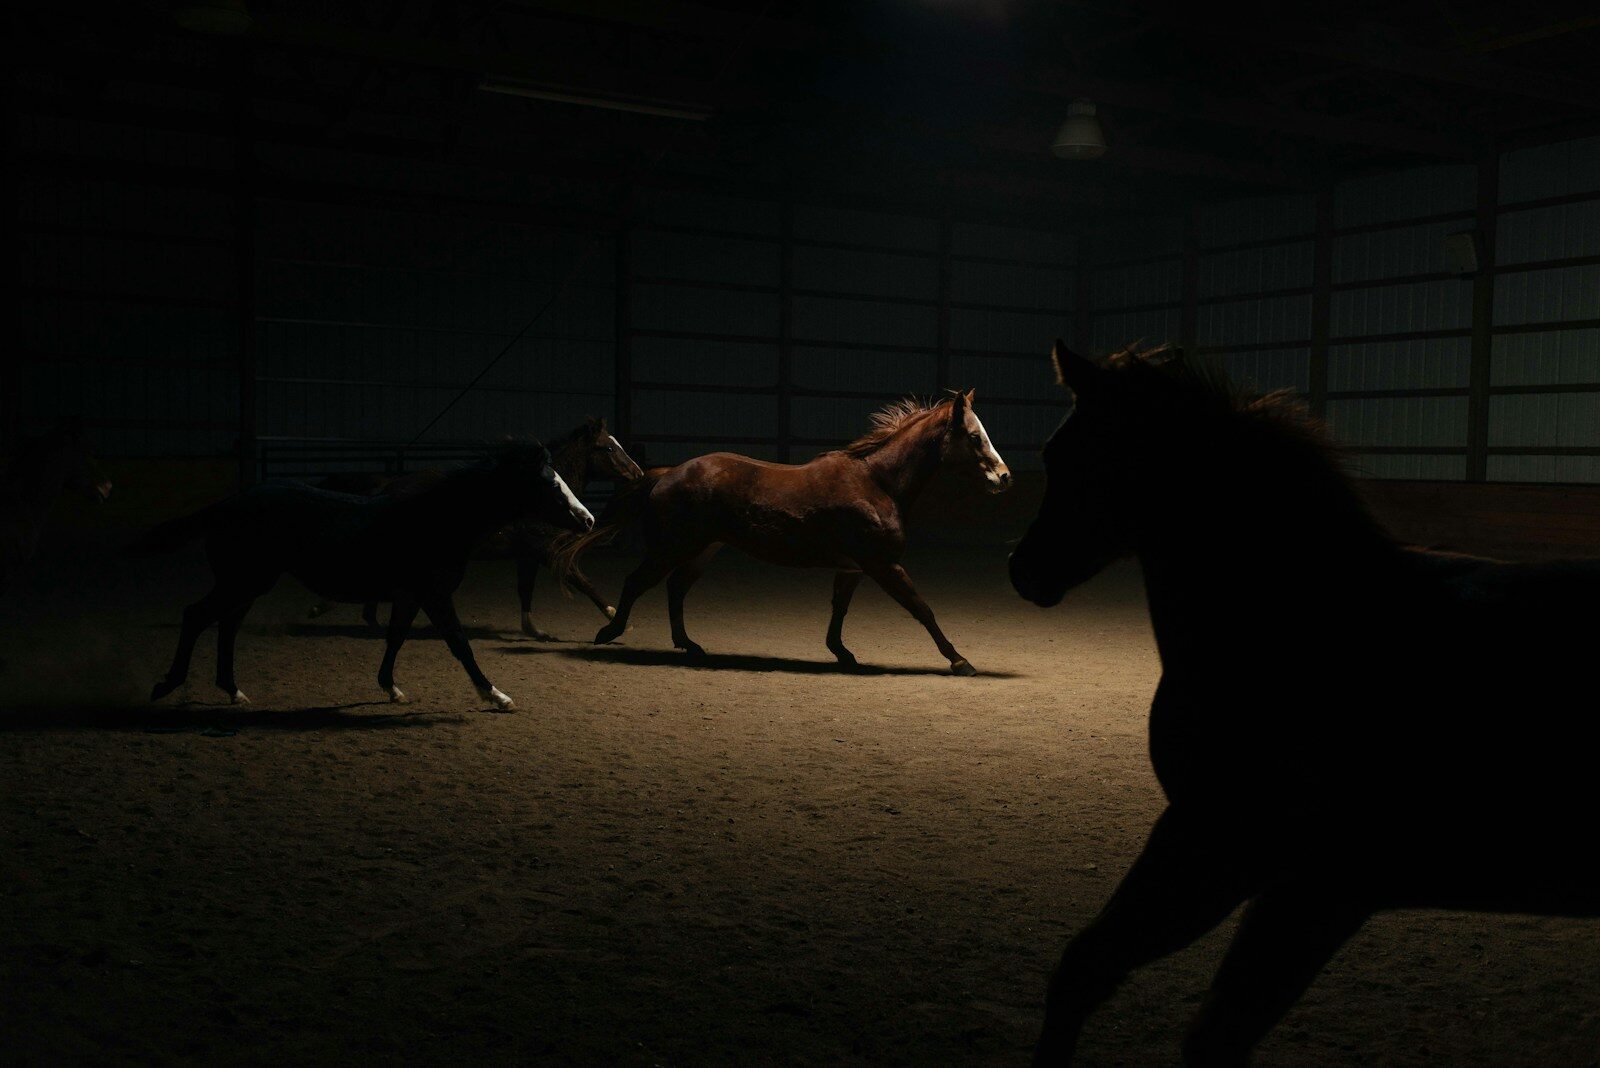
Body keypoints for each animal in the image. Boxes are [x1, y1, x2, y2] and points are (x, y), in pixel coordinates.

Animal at [132, 442, 594, 710]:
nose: (587, 519)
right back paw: (167, 686)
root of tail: (228, 503)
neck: (436, 519)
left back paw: (232, 691)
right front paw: (496, 695)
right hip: (241, 582)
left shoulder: (409, 596)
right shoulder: (435, 594)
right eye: (550, 485)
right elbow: (459, 644)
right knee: (196, 616)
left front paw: (390, 688)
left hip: (247, 586)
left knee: (225, 628)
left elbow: (395, 638)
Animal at [306, 418, 644, 638]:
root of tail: (388, 487)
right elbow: (582, 581)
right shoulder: (544, 550)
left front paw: (533, 629)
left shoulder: (528, 555)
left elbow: (526, 589)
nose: (638, 474)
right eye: (609, 448)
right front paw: (616, 618)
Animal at [557, 389, 1011, 675]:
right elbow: (922, 609)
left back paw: (688, 644)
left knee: (676, 588)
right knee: (637, 582)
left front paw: (842, 653)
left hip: (703, 549)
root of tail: (668, 473)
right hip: (671, 547)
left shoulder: (853, 568)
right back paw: (610, 632)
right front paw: (959, 660)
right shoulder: (883, 565)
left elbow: (839, 610)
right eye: (975, 437)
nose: (1005, 477)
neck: (876, 482)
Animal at [1007, 341, 1600, 1065]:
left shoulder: (1275, 868)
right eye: (1054, 452)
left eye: (1082, 454)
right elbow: (1087, 972)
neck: (1311, 619)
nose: (1023, 569)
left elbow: (1207, 1028)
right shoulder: (1220, 847)